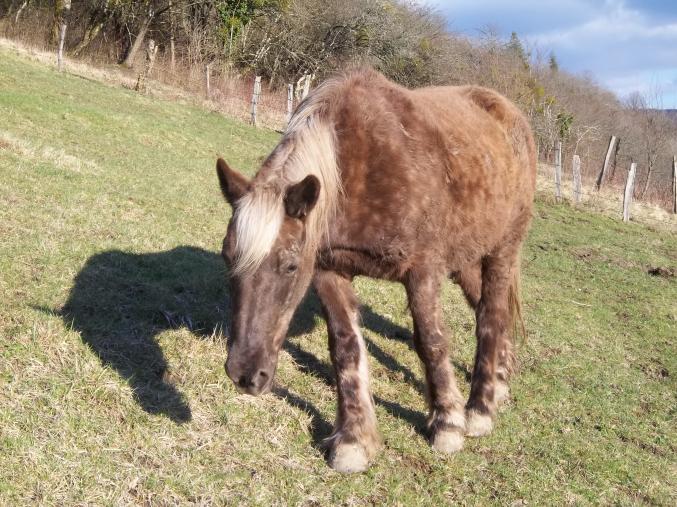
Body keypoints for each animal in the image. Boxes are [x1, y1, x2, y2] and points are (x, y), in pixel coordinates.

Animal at [215, 68, 536, 473]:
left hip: (502, 249)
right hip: (466, 256)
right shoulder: (329, 271)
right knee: (488, 308)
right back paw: (501, 377)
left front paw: (447, 423)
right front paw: (354, 438)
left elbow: (431, 341)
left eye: (289, 265)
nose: (244, 374)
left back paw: (480, 408)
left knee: (491, 315)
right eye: (227, 258)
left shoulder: (423, 270)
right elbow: (345, 347)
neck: (361, 168)